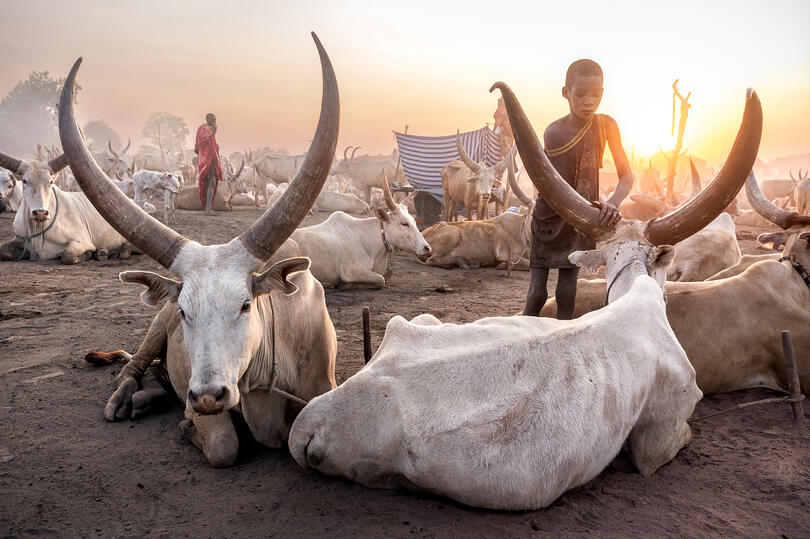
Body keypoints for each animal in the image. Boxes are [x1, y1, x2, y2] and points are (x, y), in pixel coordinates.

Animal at [61, 34, 340, 467]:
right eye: (183, 311)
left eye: (245, 305)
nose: (208, 395)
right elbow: (224, 447)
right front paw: (187, 429)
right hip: (154, 330)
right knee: (131, 369)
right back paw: (128, 399)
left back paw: (150, 395)